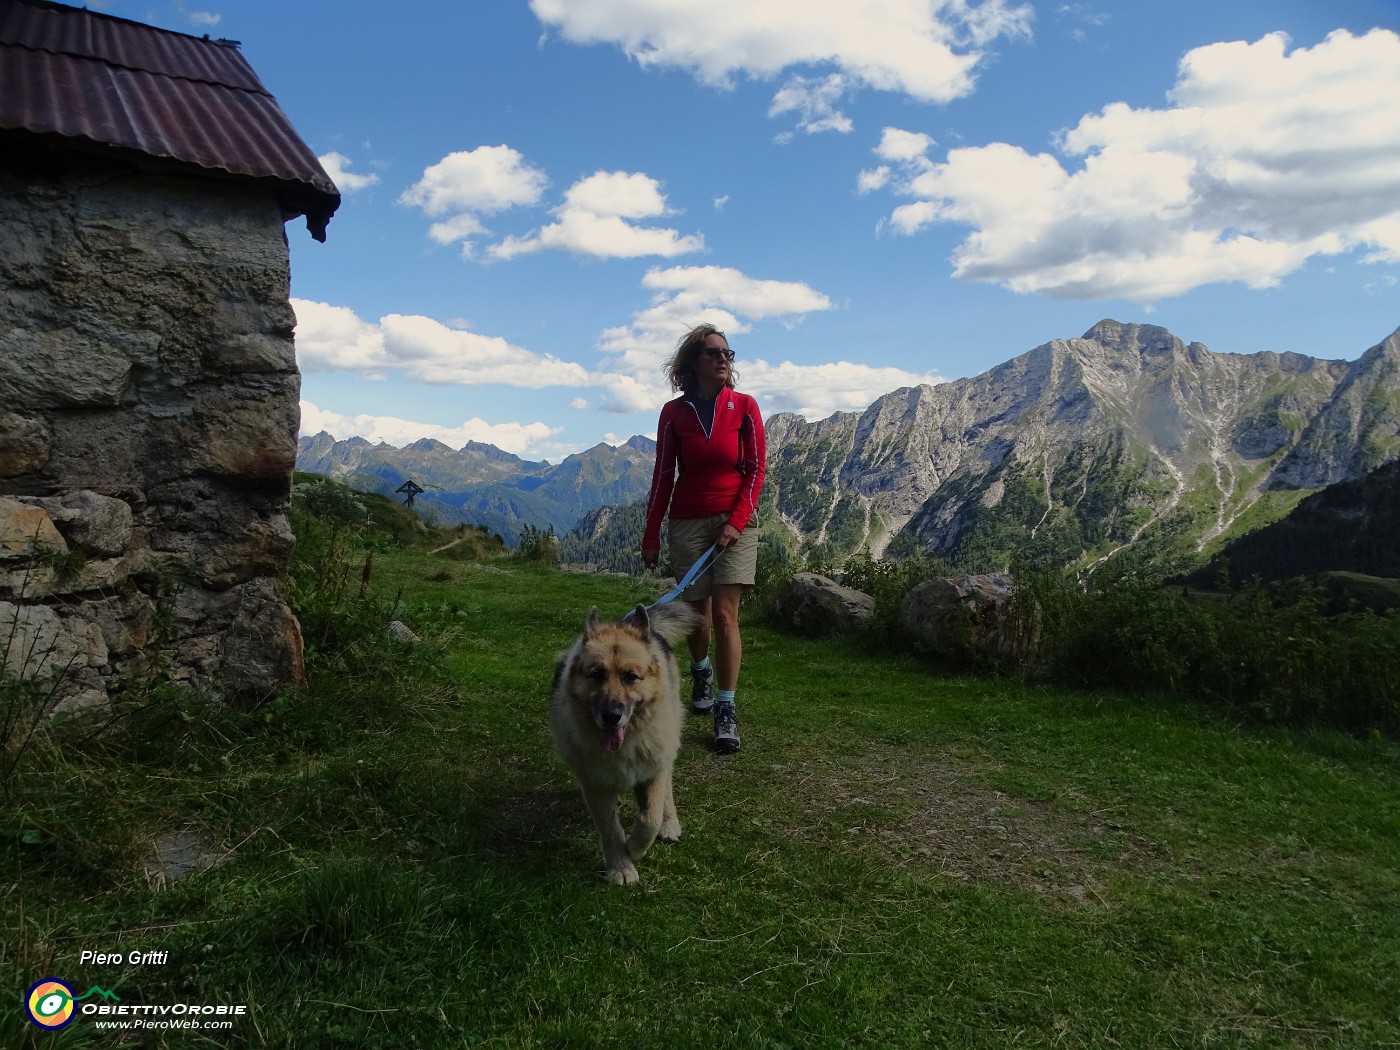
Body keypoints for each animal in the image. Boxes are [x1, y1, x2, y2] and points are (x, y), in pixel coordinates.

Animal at [546, 604, 700, 884]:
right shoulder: (595, 784)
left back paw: (669, 822)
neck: (627, 742)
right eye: (597, 674)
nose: (611, 716)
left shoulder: (654, 768)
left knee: (667, 790)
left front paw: (636, 847)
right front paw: (621, 865)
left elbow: (650, 817)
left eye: (631, 676)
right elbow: (610, 828)